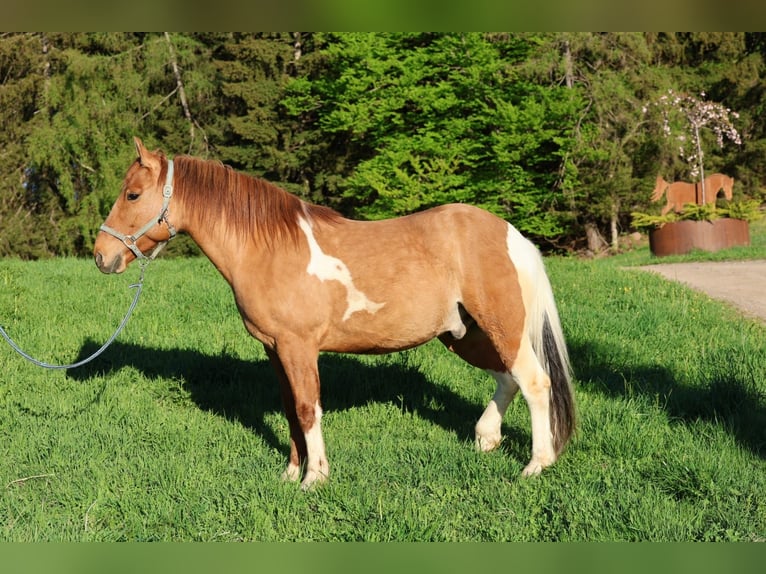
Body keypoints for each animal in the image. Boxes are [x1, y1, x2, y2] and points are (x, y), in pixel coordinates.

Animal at [94, 137, 576, 489]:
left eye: (132, 194)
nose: (101, 256)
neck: (269, 248)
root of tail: (512, 235)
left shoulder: (299, 347)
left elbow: (309, 408)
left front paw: (315, 478)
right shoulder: (276, 350)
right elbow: (290, 408)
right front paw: (290, 473)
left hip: (501, 328)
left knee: (534, 382)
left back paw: (536, 464)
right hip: (465, 334)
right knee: (507, 378)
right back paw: (486, 438)